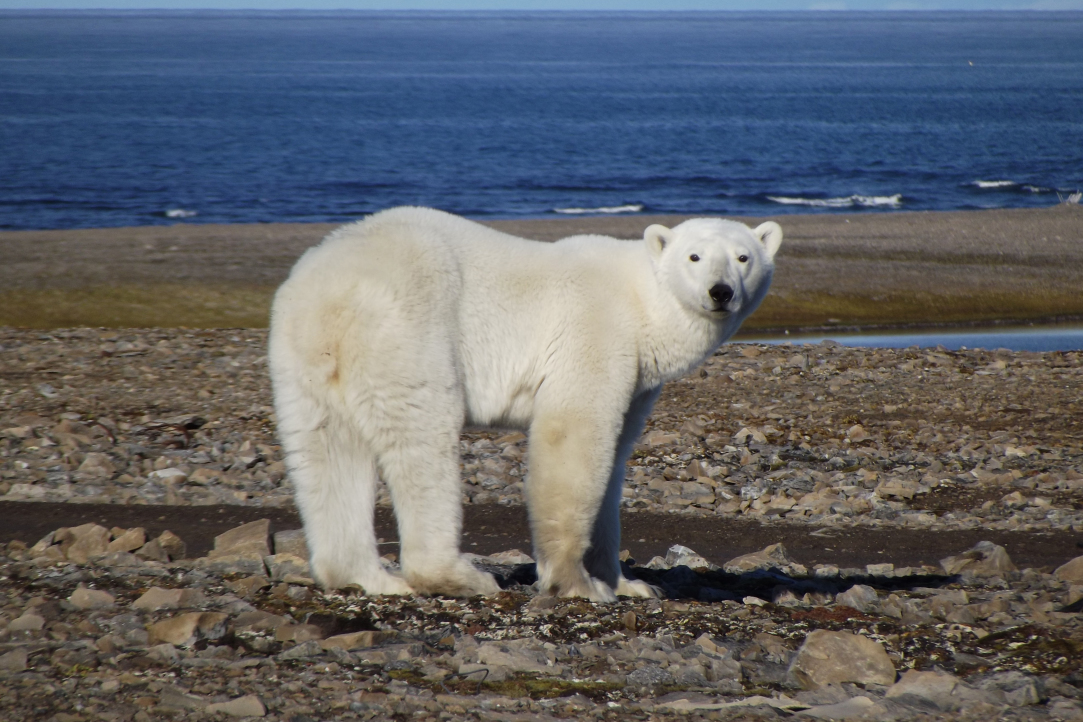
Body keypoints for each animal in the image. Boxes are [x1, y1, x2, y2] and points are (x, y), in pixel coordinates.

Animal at [267, 205, 784, 601]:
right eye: (694, 256)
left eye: (743, 257)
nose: (721, 292)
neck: (643, 304)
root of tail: (332, 291)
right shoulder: (595, 330)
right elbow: (572, 434)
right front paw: (578, 584)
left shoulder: (639, 380)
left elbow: (615, 457)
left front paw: (630, 584)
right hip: (407, 329)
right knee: (422, 437)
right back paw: (458, 576)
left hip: (303, 356)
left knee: (326, 449)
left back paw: (366, 576)